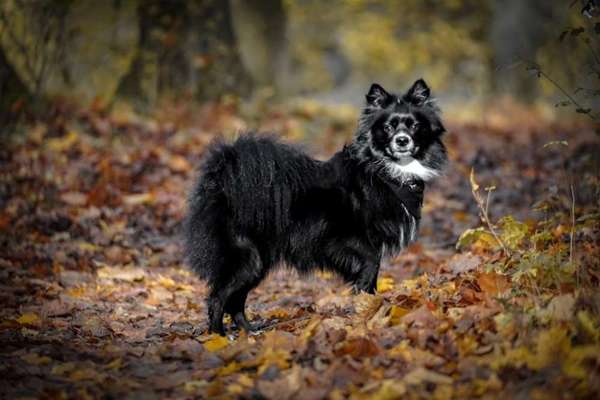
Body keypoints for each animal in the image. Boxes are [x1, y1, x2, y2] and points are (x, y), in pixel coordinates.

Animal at [185, 79, 448, 334]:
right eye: (388, 127)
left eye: (415, 126)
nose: (402, 140)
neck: (385, 172)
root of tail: (221, 179)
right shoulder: (341, 240)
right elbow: (371, 264)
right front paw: (365, 306)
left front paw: (368, 307)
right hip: (245, 257)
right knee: (218, 297)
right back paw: (217, 336)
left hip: (257, 262)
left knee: (236, 299)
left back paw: (248, 332)